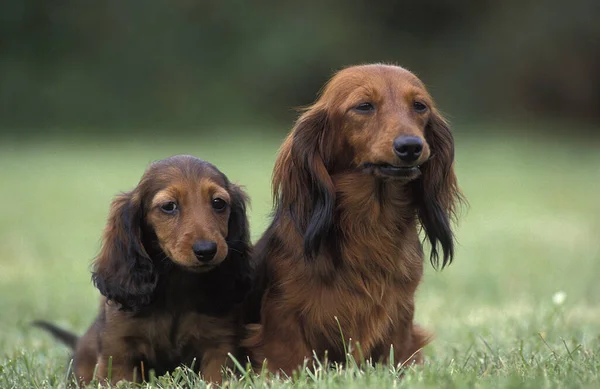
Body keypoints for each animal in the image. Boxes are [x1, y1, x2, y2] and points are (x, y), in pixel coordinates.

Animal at [35, 155, 251, 382]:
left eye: (219, 203)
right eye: (169, 206)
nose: (206, 250)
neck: (177, 287)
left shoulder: (219, 347)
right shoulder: (119, 350)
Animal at [241, 63, 462, 372]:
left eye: (420, 106)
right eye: (363, 106)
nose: (411, 146)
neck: (370, 224)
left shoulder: (400, 317)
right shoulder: (282, 318)